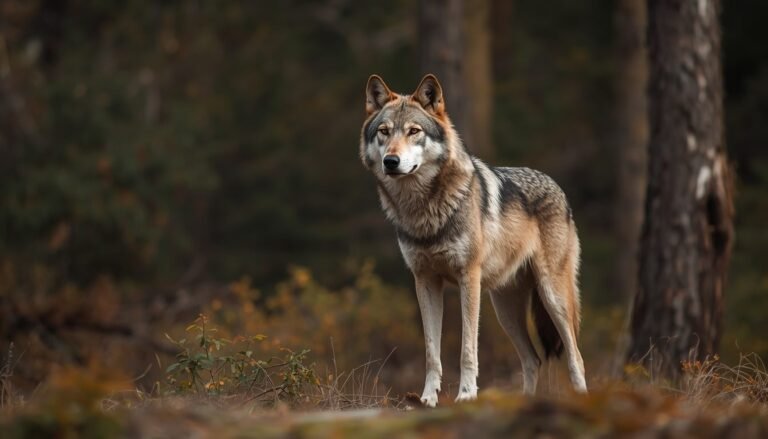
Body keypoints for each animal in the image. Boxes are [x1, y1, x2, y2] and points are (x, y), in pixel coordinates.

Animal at [359, 74, 587, 406]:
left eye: (414, 131)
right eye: (384, 132)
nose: (391, 160)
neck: (424, 210)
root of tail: (557, 186)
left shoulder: (468, 278)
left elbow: (467, 349)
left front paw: (466, 395)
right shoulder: (425, 281)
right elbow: (432, 352)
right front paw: (427, 399)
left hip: (552, 296)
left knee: (575, 357)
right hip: (505, 309)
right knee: (532, 359)